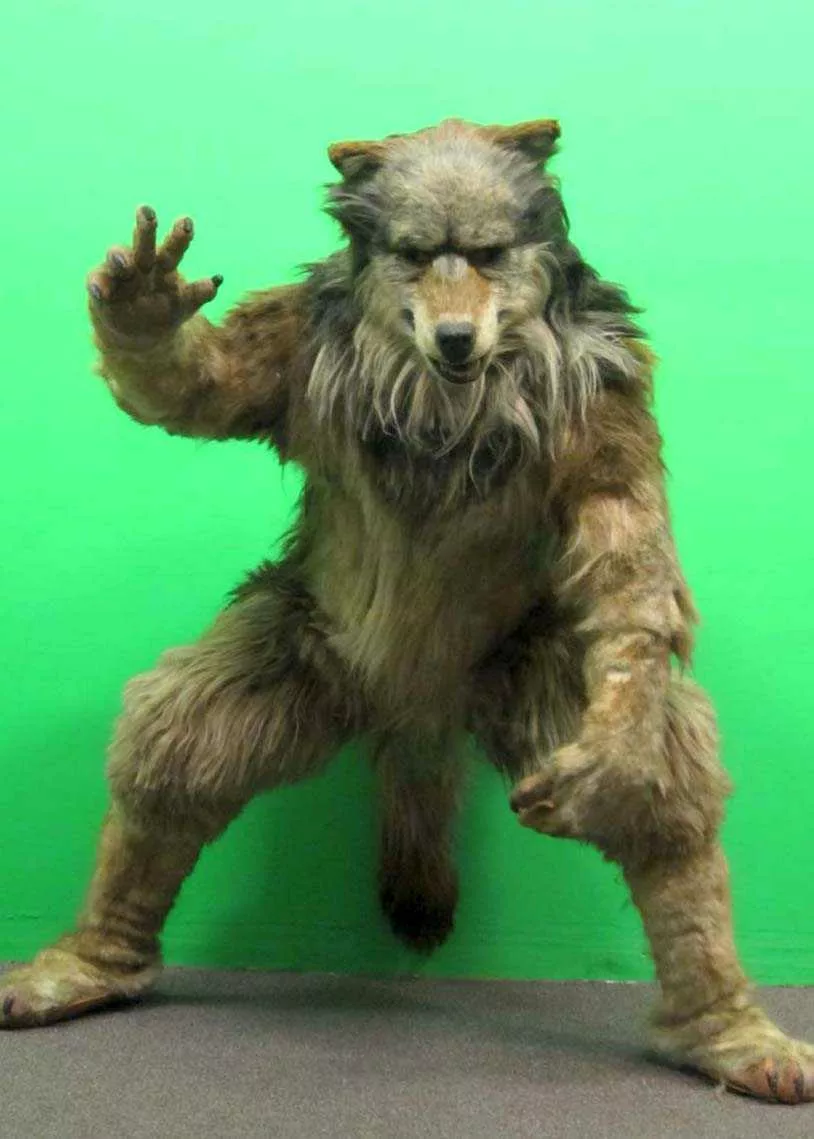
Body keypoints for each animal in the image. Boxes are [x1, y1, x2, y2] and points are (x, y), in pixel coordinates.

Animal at [1, 117, 811, 1103]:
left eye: (490, 255)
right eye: (418, 256)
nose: (457, 336)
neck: (451, 404)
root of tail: (419, 709)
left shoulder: (606, 397)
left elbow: (626, 545)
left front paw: (625, 716)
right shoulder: (290, 353)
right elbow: (192, 391)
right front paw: (145, 309)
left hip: (537, 667)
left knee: (663, 805)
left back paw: (728, 1031)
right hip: (299, 643)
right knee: (176, 749)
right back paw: (88, 962)